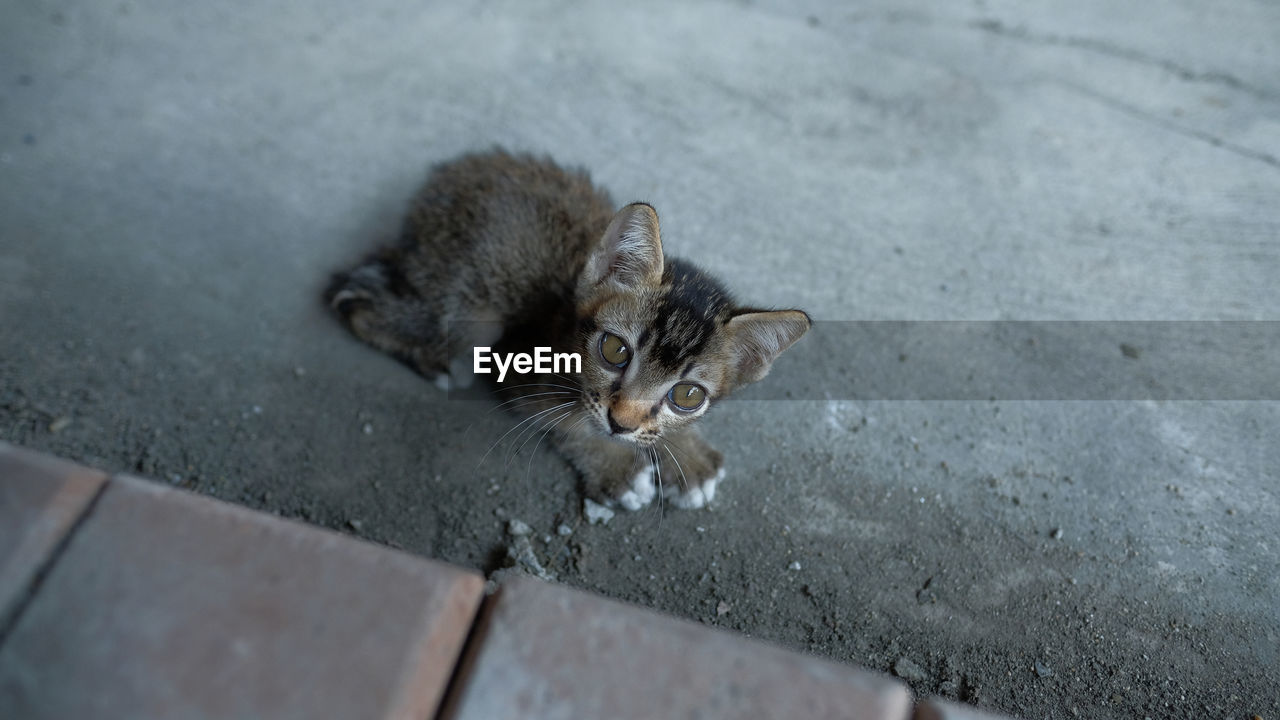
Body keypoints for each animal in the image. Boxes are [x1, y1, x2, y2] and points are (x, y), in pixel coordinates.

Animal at [330, 148, 808, 509]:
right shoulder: (518, 362)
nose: (621, 424)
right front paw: (615, 466)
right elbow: (564, 421)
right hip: (475, 313)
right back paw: (436, 361)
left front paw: (685, 454)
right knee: (357, 304)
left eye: (687, 395)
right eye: (615, 351)